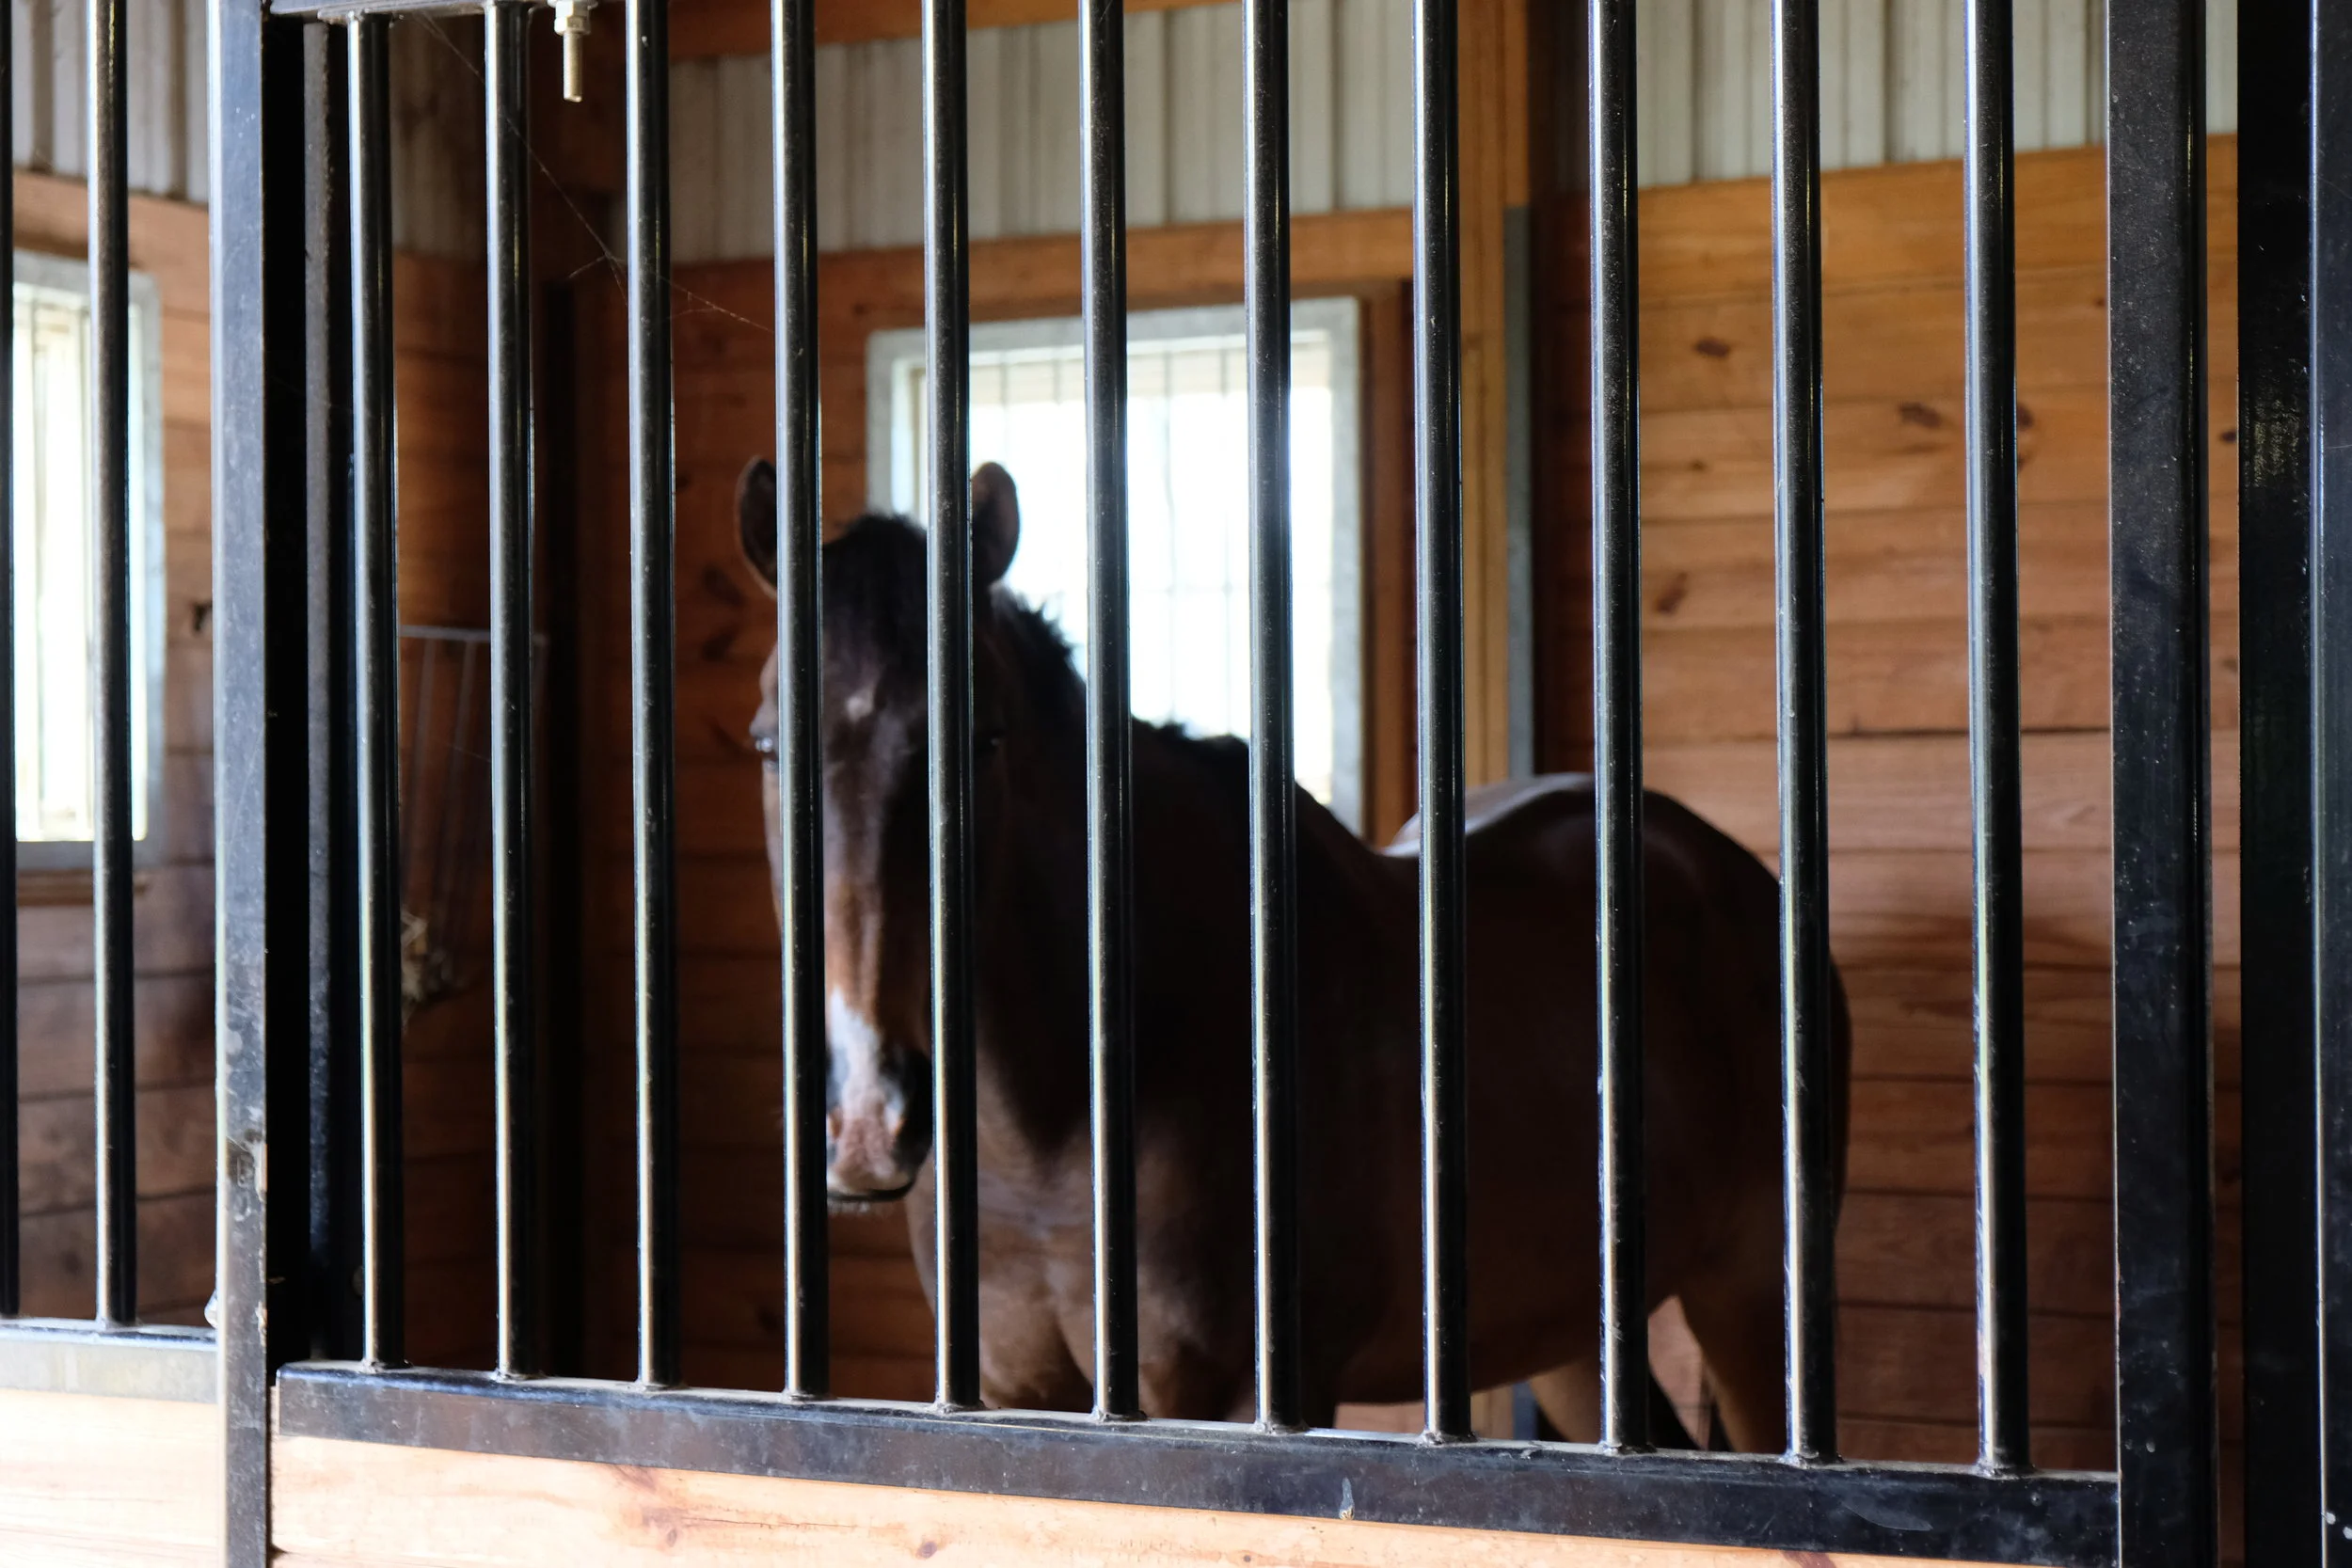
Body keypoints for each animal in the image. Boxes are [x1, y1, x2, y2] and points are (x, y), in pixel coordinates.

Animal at [731, 456, 1851, 1447]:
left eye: (982, 741)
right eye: (769, 746)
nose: (865, 1118)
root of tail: (1730, 876)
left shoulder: (1248, 1399)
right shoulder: (1007, 1396)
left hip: (1756, 1299)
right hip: (1574, 1334)